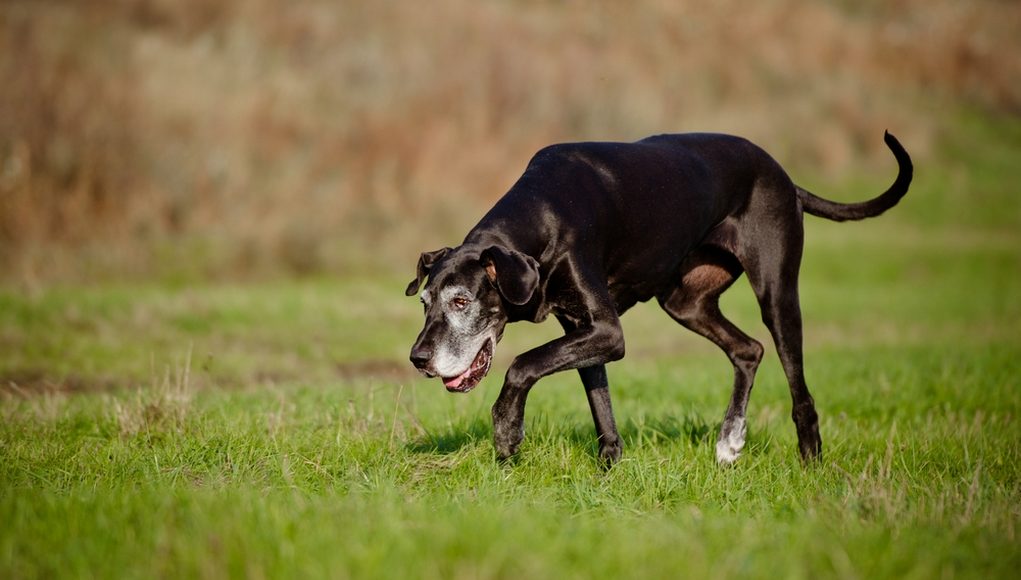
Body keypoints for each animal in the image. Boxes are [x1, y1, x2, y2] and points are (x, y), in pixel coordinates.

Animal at [404, 131, 910, 467]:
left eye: (461, 302)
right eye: (425, 302)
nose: (418, 359)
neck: (542, 218)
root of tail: (784, 177)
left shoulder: (606, 331)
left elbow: (523, 363)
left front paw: (507, 431)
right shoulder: (584, 330)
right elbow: (599, 401)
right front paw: (609, 468)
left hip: (778, 294)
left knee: (796, 384)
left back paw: (810, 461)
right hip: (686, 301)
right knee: (748, 349)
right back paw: (730, 439)